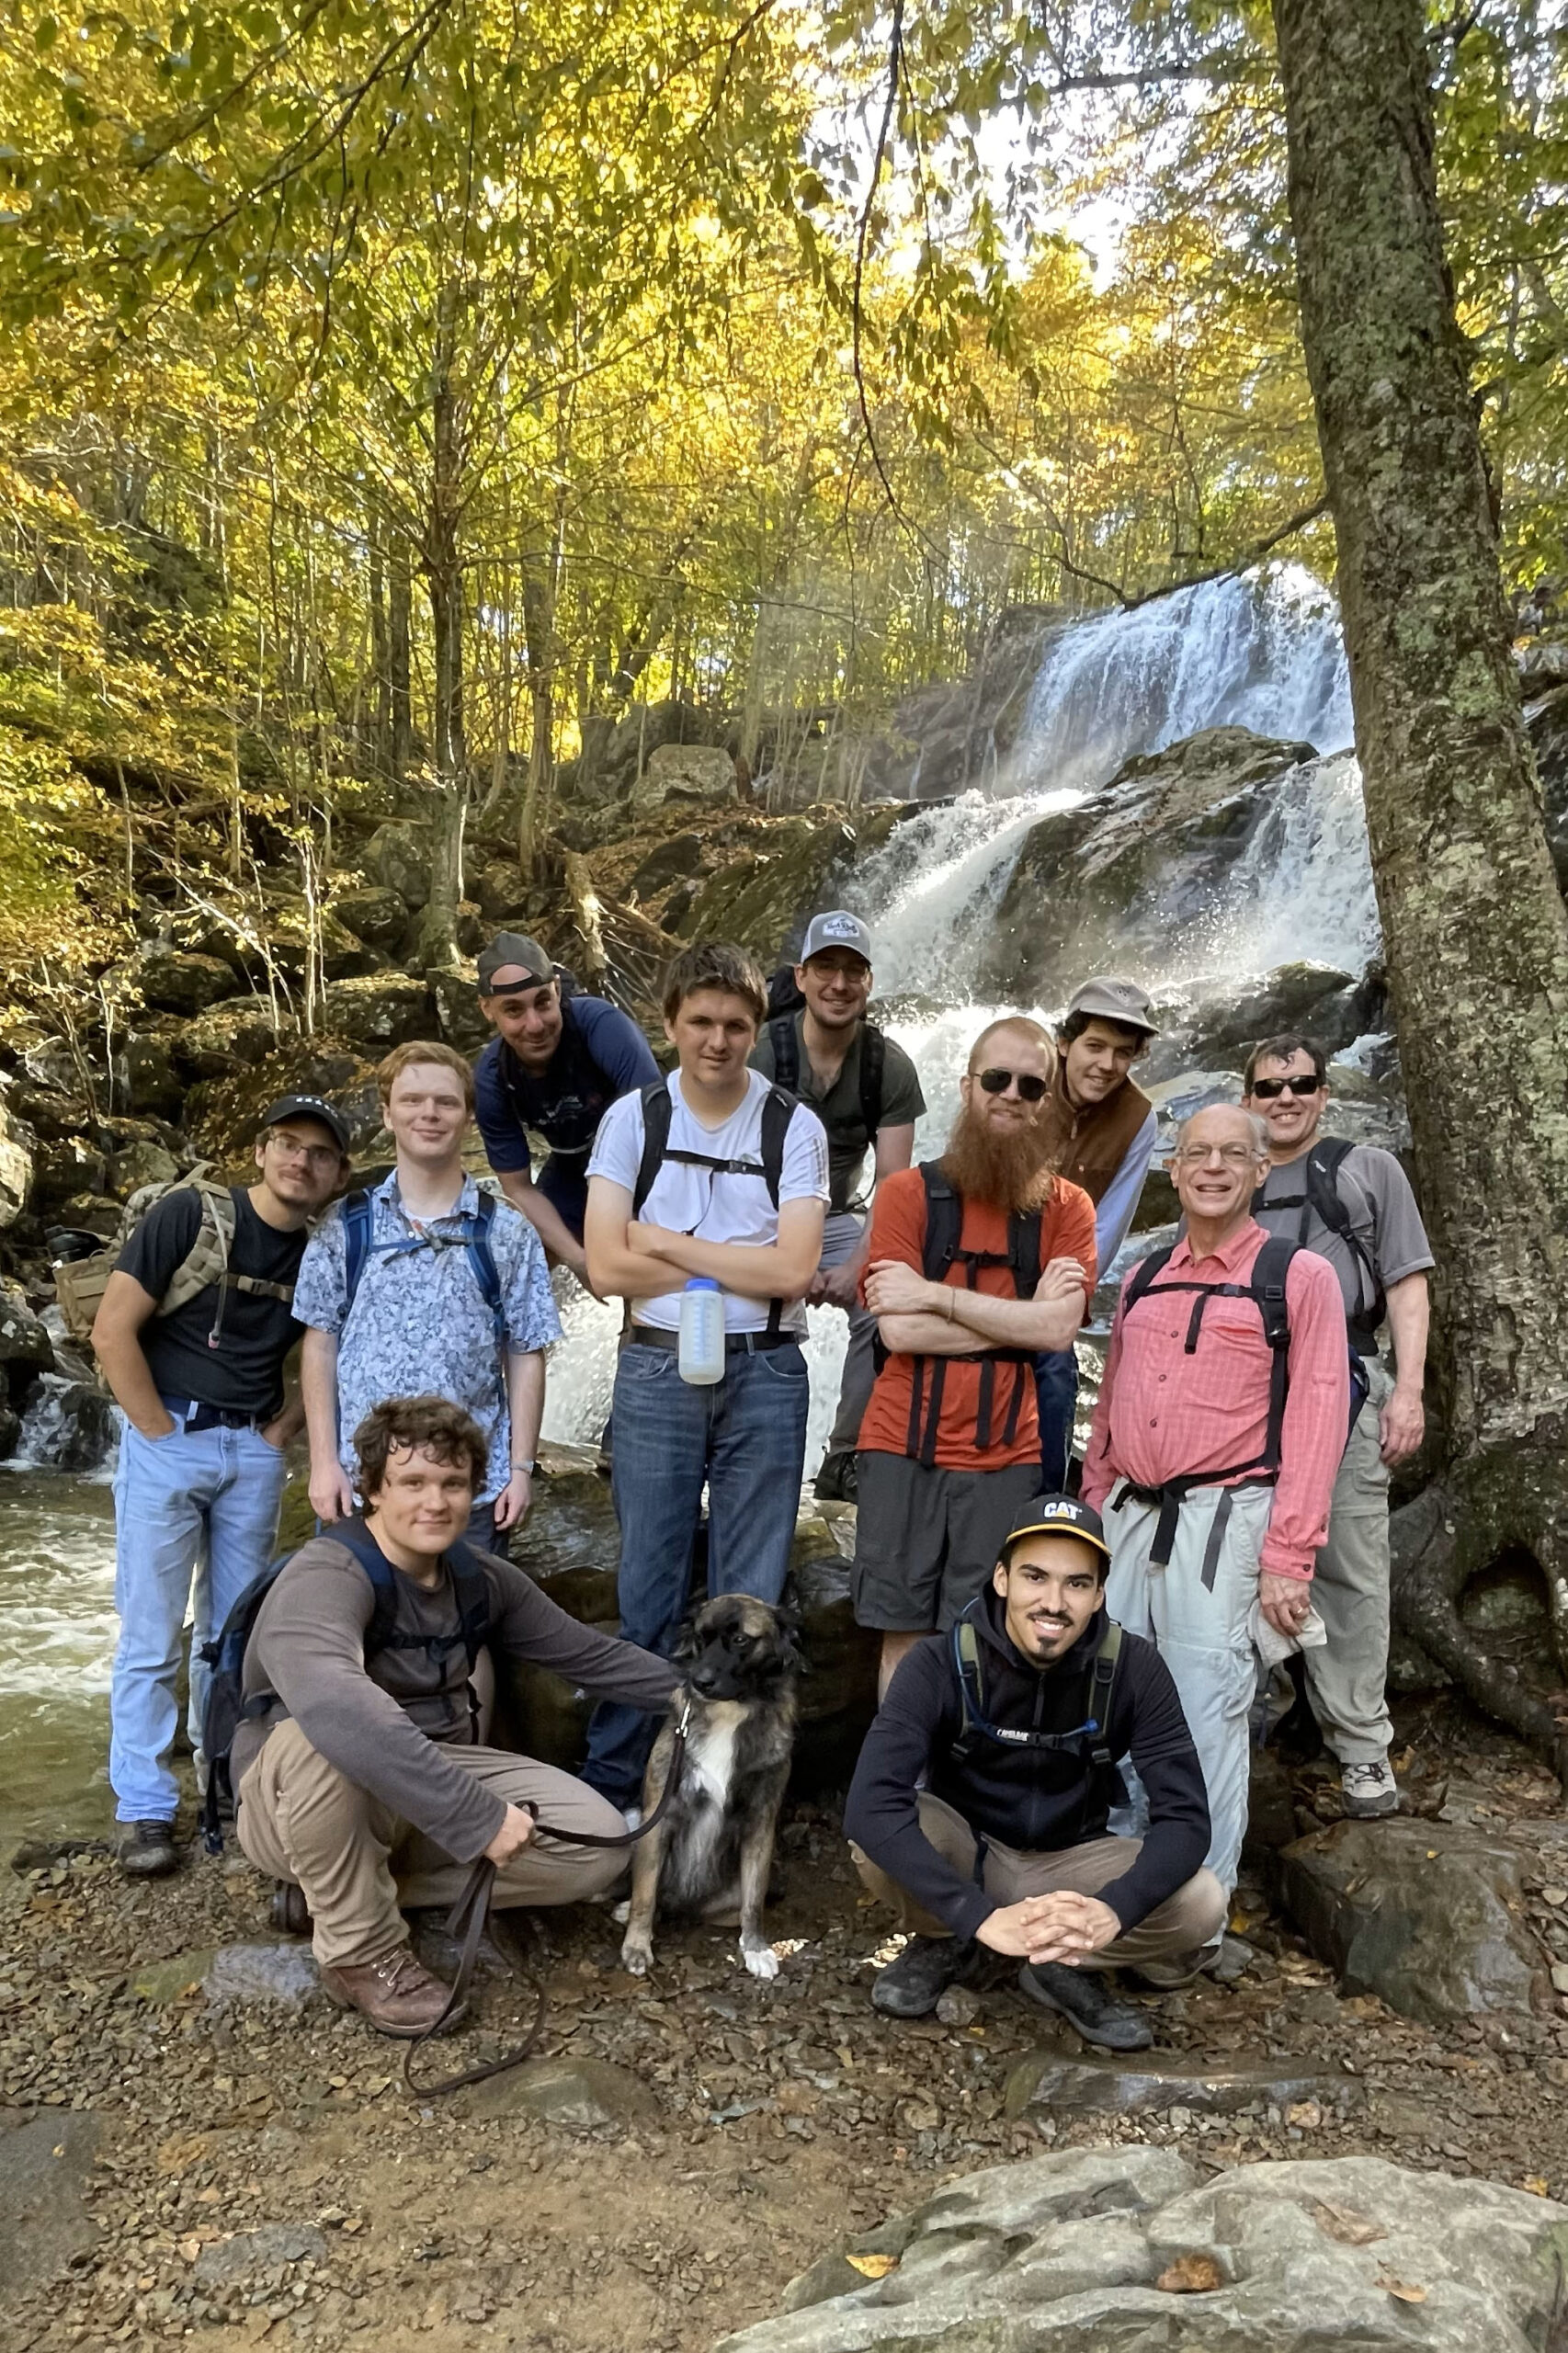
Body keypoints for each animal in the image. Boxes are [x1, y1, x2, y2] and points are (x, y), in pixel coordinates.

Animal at [617, 1590, 800, 1976]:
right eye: (701, 1638)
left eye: (741, 1639)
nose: (700, 1681)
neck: (730, 1712)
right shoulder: (658, 1815)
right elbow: (644, 1892)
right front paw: (636, 1945)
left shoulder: (761, 1823)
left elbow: (753, 1902)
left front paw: (755, 1947)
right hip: (632, 1820)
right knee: (651, 1894)